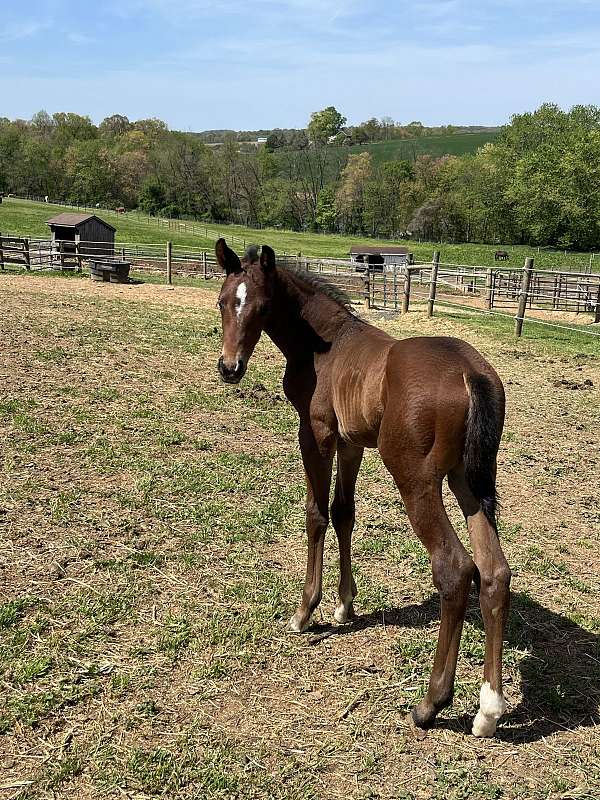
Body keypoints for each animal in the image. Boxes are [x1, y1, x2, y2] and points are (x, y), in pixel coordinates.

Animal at [215, 239, 511, 738]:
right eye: (222, 301)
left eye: (262, 307)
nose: (230, 368)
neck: (326, 345)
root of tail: (472, 373)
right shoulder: (351, 442)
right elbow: (344, 512)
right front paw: (345, 606)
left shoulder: (316, 433)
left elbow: (316, 513)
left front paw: (306, 611)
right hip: (467, 479)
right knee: (493, 571)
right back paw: (488, 710)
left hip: (416, 480)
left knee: (455, 569)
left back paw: (430, 704)